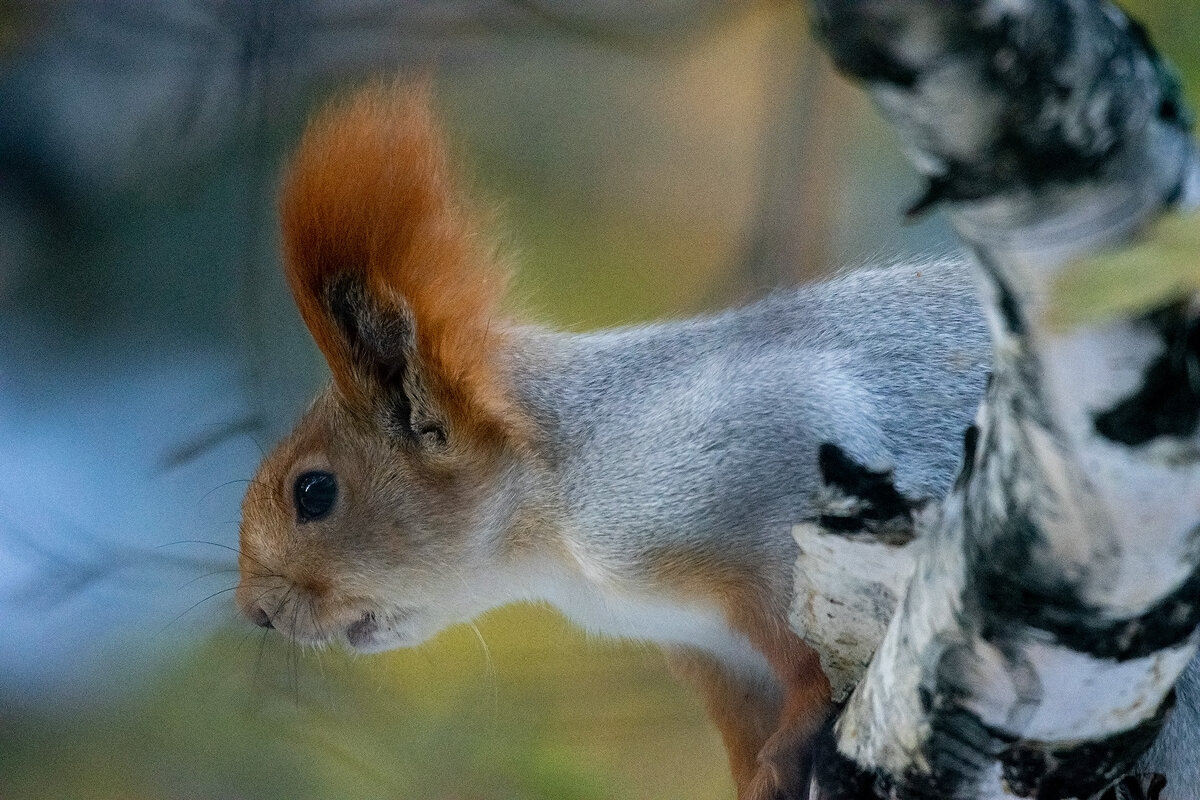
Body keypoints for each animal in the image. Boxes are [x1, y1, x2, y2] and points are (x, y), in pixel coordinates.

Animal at [236, 82, 993, 800]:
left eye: (314, 492)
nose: (256, 612)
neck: (555, 525)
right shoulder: (713, 651)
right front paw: (759, 775)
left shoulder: (767, 460)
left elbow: (806, 665)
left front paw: (794, 735)